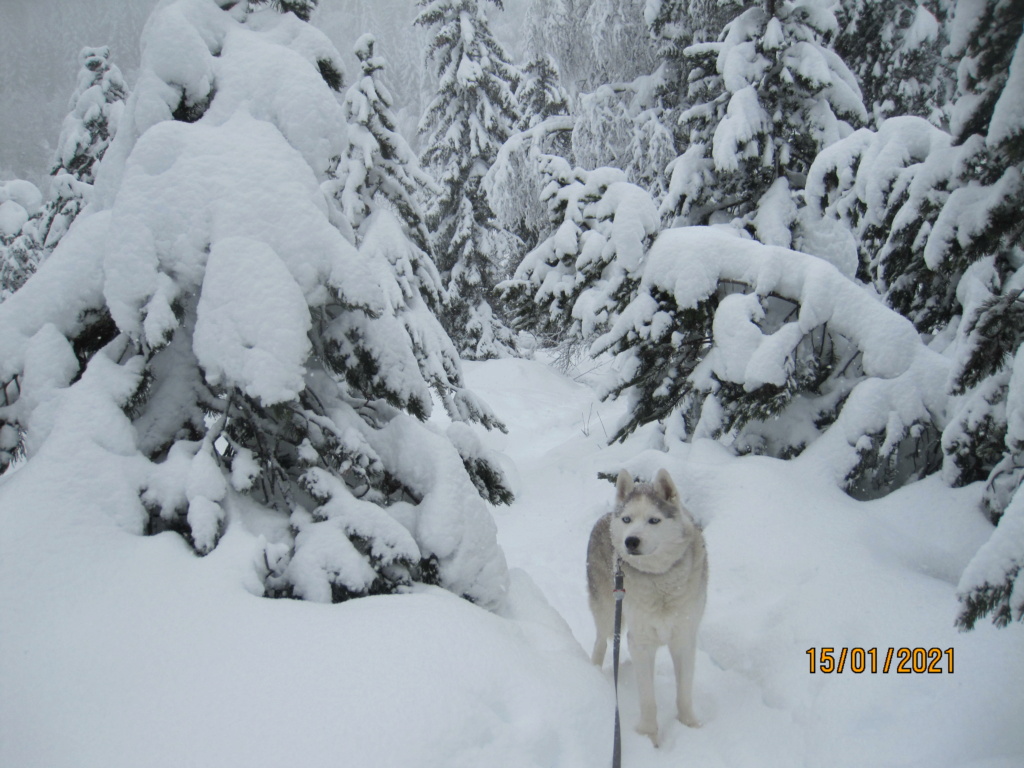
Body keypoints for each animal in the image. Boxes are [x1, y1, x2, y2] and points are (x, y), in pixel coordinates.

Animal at [589, 468, 708, 745]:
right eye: (627, 519)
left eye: (654, 520)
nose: (631, 541)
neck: (659, 579)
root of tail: (605, 516)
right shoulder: (641, 642)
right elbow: (648, 699)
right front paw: (648, 735)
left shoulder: (684, 637)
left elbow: (684, 692)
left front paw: (690, 725)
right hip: (607, 610)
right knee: (601, 640)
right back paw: (594, 671)